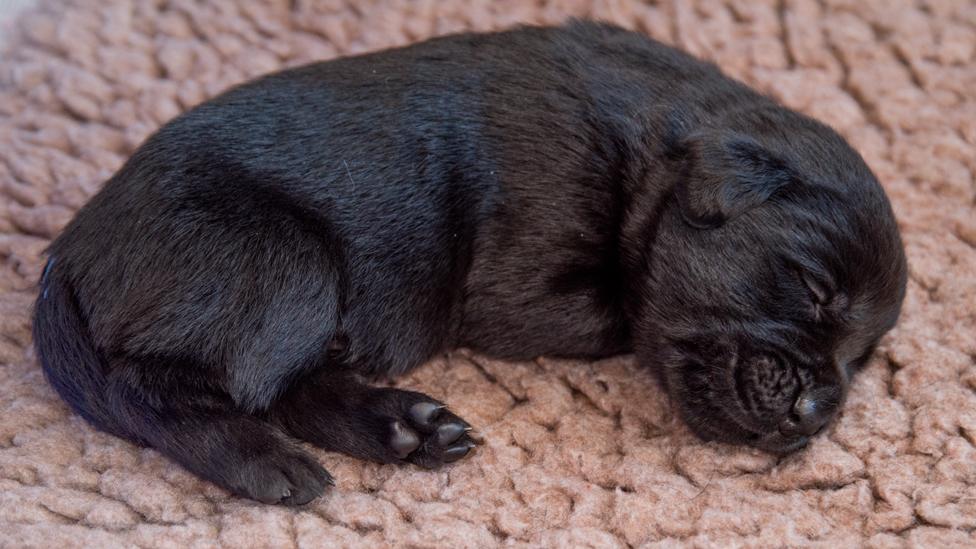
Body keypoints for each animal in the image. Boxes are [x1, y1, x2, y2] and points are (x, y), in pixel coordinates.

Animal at [34, 21, 912, 504]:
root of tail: (65, 259)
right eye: (813, 288)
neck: (658, 148)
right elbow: (626, 310)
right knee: (155, 386)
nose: (818, 411)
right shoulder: (522, 273)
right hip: (285, 263)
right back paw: (263, 460)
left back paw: (403, 427)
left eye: (864, 358)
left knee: (279, 382)